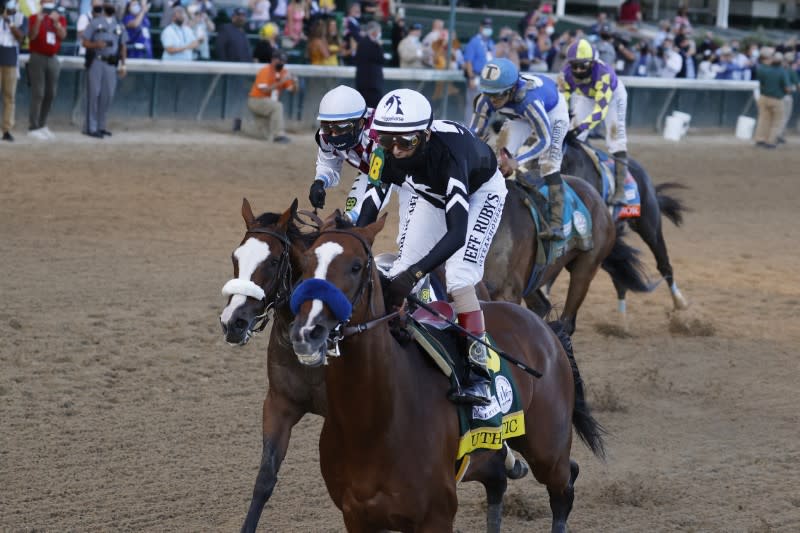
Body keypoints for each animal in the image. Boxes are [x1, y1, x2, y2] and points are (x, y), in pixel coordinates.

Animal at [290, 215, 604, 532]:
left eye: (356, 266)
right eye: (304, 264)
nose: (307, 332)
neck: (373, 424)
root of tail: (545, 328)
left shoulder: (436, 515)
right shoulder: (356, 515)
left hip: (547, 448)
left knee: (564, 485)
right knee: (499, 480)